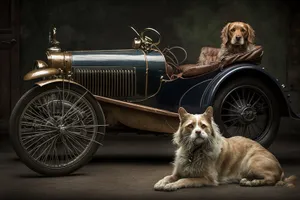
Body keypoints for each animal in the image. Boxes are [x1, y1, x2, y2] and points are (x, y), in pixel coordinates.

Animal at [154, 105, 296, 191]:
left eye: (203, 126)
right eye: (190, 126)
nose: (198, 132)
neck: (195, 151)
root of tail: (280, 168)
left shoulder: (208, 179)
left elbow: (185, 179)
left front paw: (172, 185)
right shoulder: (177, 172)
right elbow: (168, 177)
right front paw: (161, 182)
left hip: (252, 163)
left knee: (271, 179)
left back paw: (252, 182)